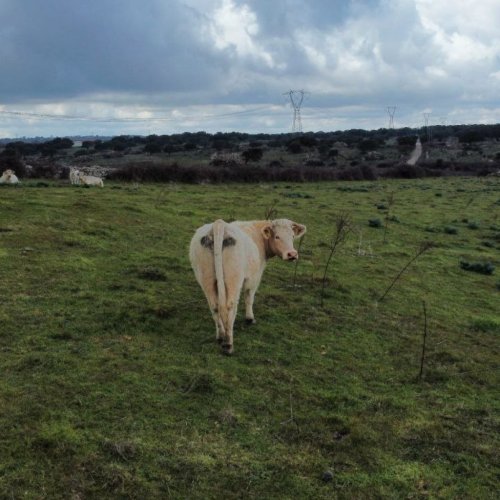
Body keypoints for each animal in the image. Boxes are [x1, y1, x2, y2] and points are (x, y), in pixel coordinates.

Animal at [189, 218, 306, 355]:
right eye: (277, 236)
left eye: (292, 236)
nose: (292, 254)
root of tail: (219, 224)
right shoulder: (254, 277)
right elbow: (249, 297)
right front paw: (250, 318)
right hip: (233, 279)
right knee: (230, 307)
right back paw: (228, 344)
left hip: (206, 278)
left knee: (215, 306)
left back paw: (220, 336)